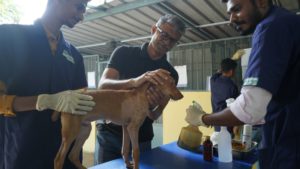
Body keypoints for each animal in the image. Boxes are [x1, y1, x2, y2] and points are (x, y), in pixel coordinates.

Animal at [54, 78, 184, 169]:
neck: (141, 95)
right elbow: (136, 152)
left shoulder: (126, 127)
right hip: (70, 134)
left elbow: (125, 149)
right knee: (59, 159)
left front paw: (128, 164)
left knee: (72, 155)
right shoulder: (133, 128)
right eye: (171, 82)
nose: (182, 96)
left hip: (84, 130)